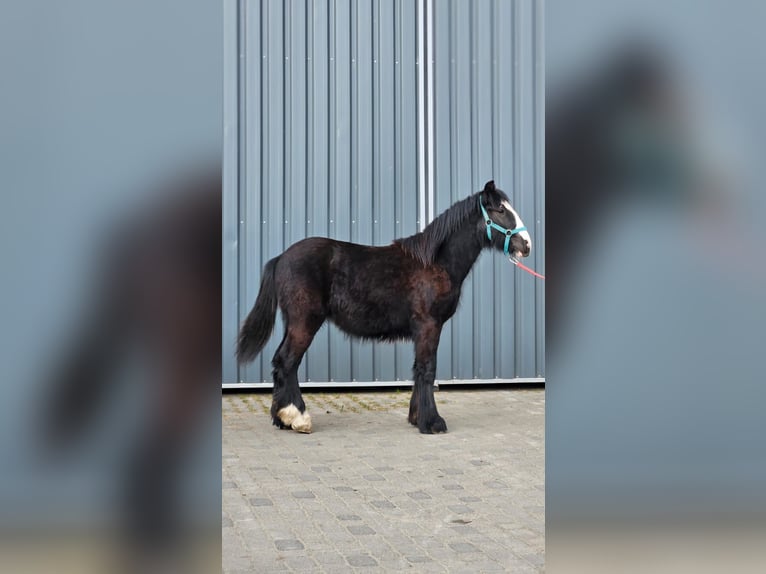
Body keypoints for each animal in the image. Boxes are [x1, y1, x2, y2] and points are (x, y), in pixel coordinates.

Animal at [237, 180, 532, 434]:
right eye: (500, 210)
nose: (526, 245)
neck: (435, 263)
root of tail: (281, 258)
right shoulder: (429, 325)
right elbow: (427, 369)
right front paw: (432, 422)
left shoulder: (422, 330)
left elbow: (418, 369)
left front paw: (417, 417)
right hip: (304, 322)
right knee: (288, 362)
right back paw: (297, 418)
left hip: (295, 323)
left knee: (281, 363)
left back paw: (282, 418)